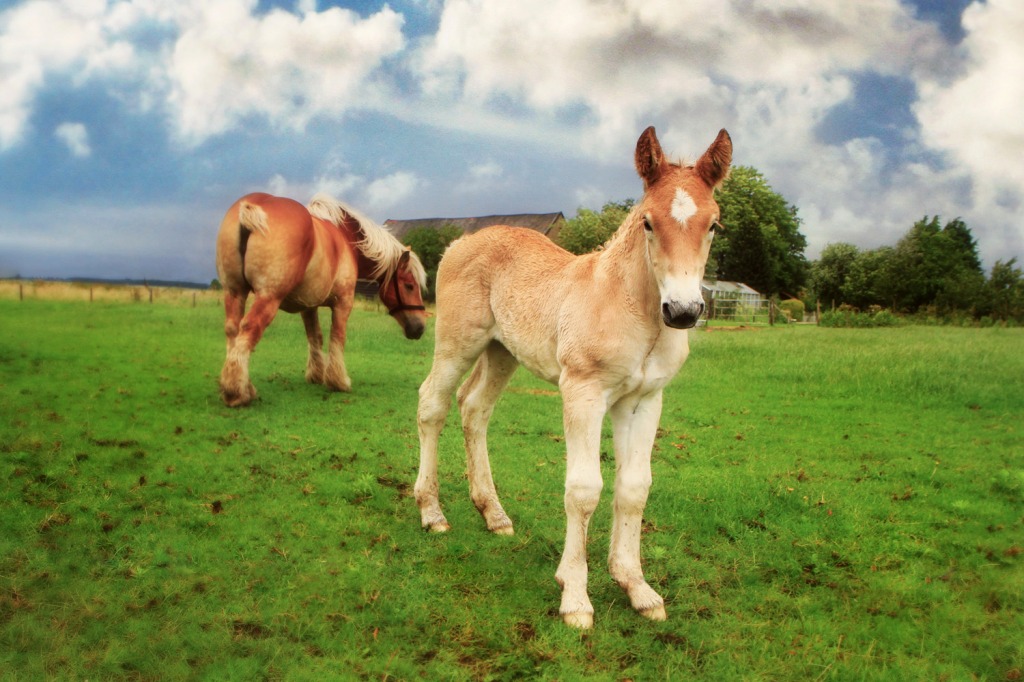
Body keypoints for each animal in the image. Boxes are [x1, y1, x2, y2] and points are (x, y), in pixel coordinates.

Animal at [214, 191, 425, 403]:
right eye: (410, 286)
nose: (420, 328)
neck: (346, 239)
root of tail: (253, 206)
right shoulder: (343, 303)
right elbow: (337, 337)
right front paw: (338, 381)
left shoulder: (308, 306)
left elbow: (315, 337)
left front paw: (316, 375)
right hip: (268, 297)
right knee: (249, 328)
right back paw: (237, 392)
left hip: (234, 292)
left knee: (233, 331)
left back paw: (239, 386)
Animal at [411, 127, 733, 626]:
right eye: (648, 222)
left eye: (714, 224)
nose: (682, 311)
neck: (632, 308)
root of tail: (460, 242)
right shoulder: (583, 391)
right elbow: (584, 490)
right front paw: (576, 597)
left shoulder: (644, 400)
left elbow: (634, 488)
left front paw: (637, 587)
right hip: (457, 343)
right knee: (433, 404)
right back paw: (432, 512)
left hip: (503, 352)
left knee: (474, 408)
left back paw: (494, 514)